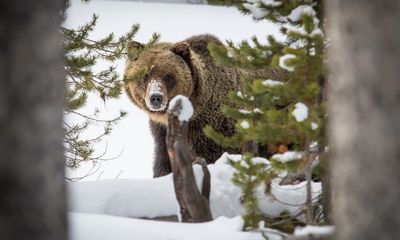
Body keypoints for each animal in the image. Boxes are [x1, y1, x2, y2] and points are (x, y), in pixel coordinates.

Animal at [124, 33, 284, 177]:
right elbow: (163, 161)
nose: (156, 97)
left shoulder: (212, 129)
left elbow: (210, 156)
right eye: (145, 75)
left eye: (168, 76)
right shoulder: (161, 131)